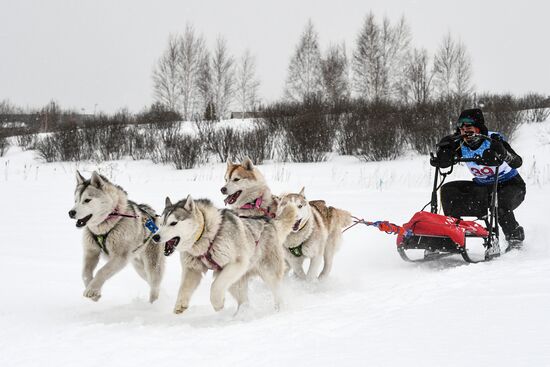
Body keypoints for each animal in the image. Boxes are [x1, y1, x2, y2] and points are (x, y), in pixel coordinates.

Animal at [68, 172, 165, 304]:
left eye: (87, 200)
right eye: (76, 200)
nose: (71, 213)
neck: (104, 226)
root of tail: (155, 217)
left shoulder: (119, 258)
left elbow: (102, 271)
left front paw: (92, 290)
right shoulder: (91, 253)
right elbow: (85, 274)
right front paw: (94, 293)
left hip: (152, 265)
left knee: (155, 285)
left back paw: (152, 304)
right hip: (139, 267)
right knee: (150, 282)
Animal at [152, 197, 298, 314]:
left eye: (173, 223)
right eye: (161, 223)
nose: (155, 236)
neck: (205, 237)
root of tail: (269, 221)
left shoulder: (236, 263)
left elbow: (215, 286)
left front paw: (218, 303)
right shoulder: (192, 269)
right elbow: (183, 288)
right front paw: (180, 304)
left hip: (268, 272)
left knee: (277, 292)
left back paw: (279, 310)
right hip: (236, 283)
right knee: (244, 301)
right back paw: (241, 315)